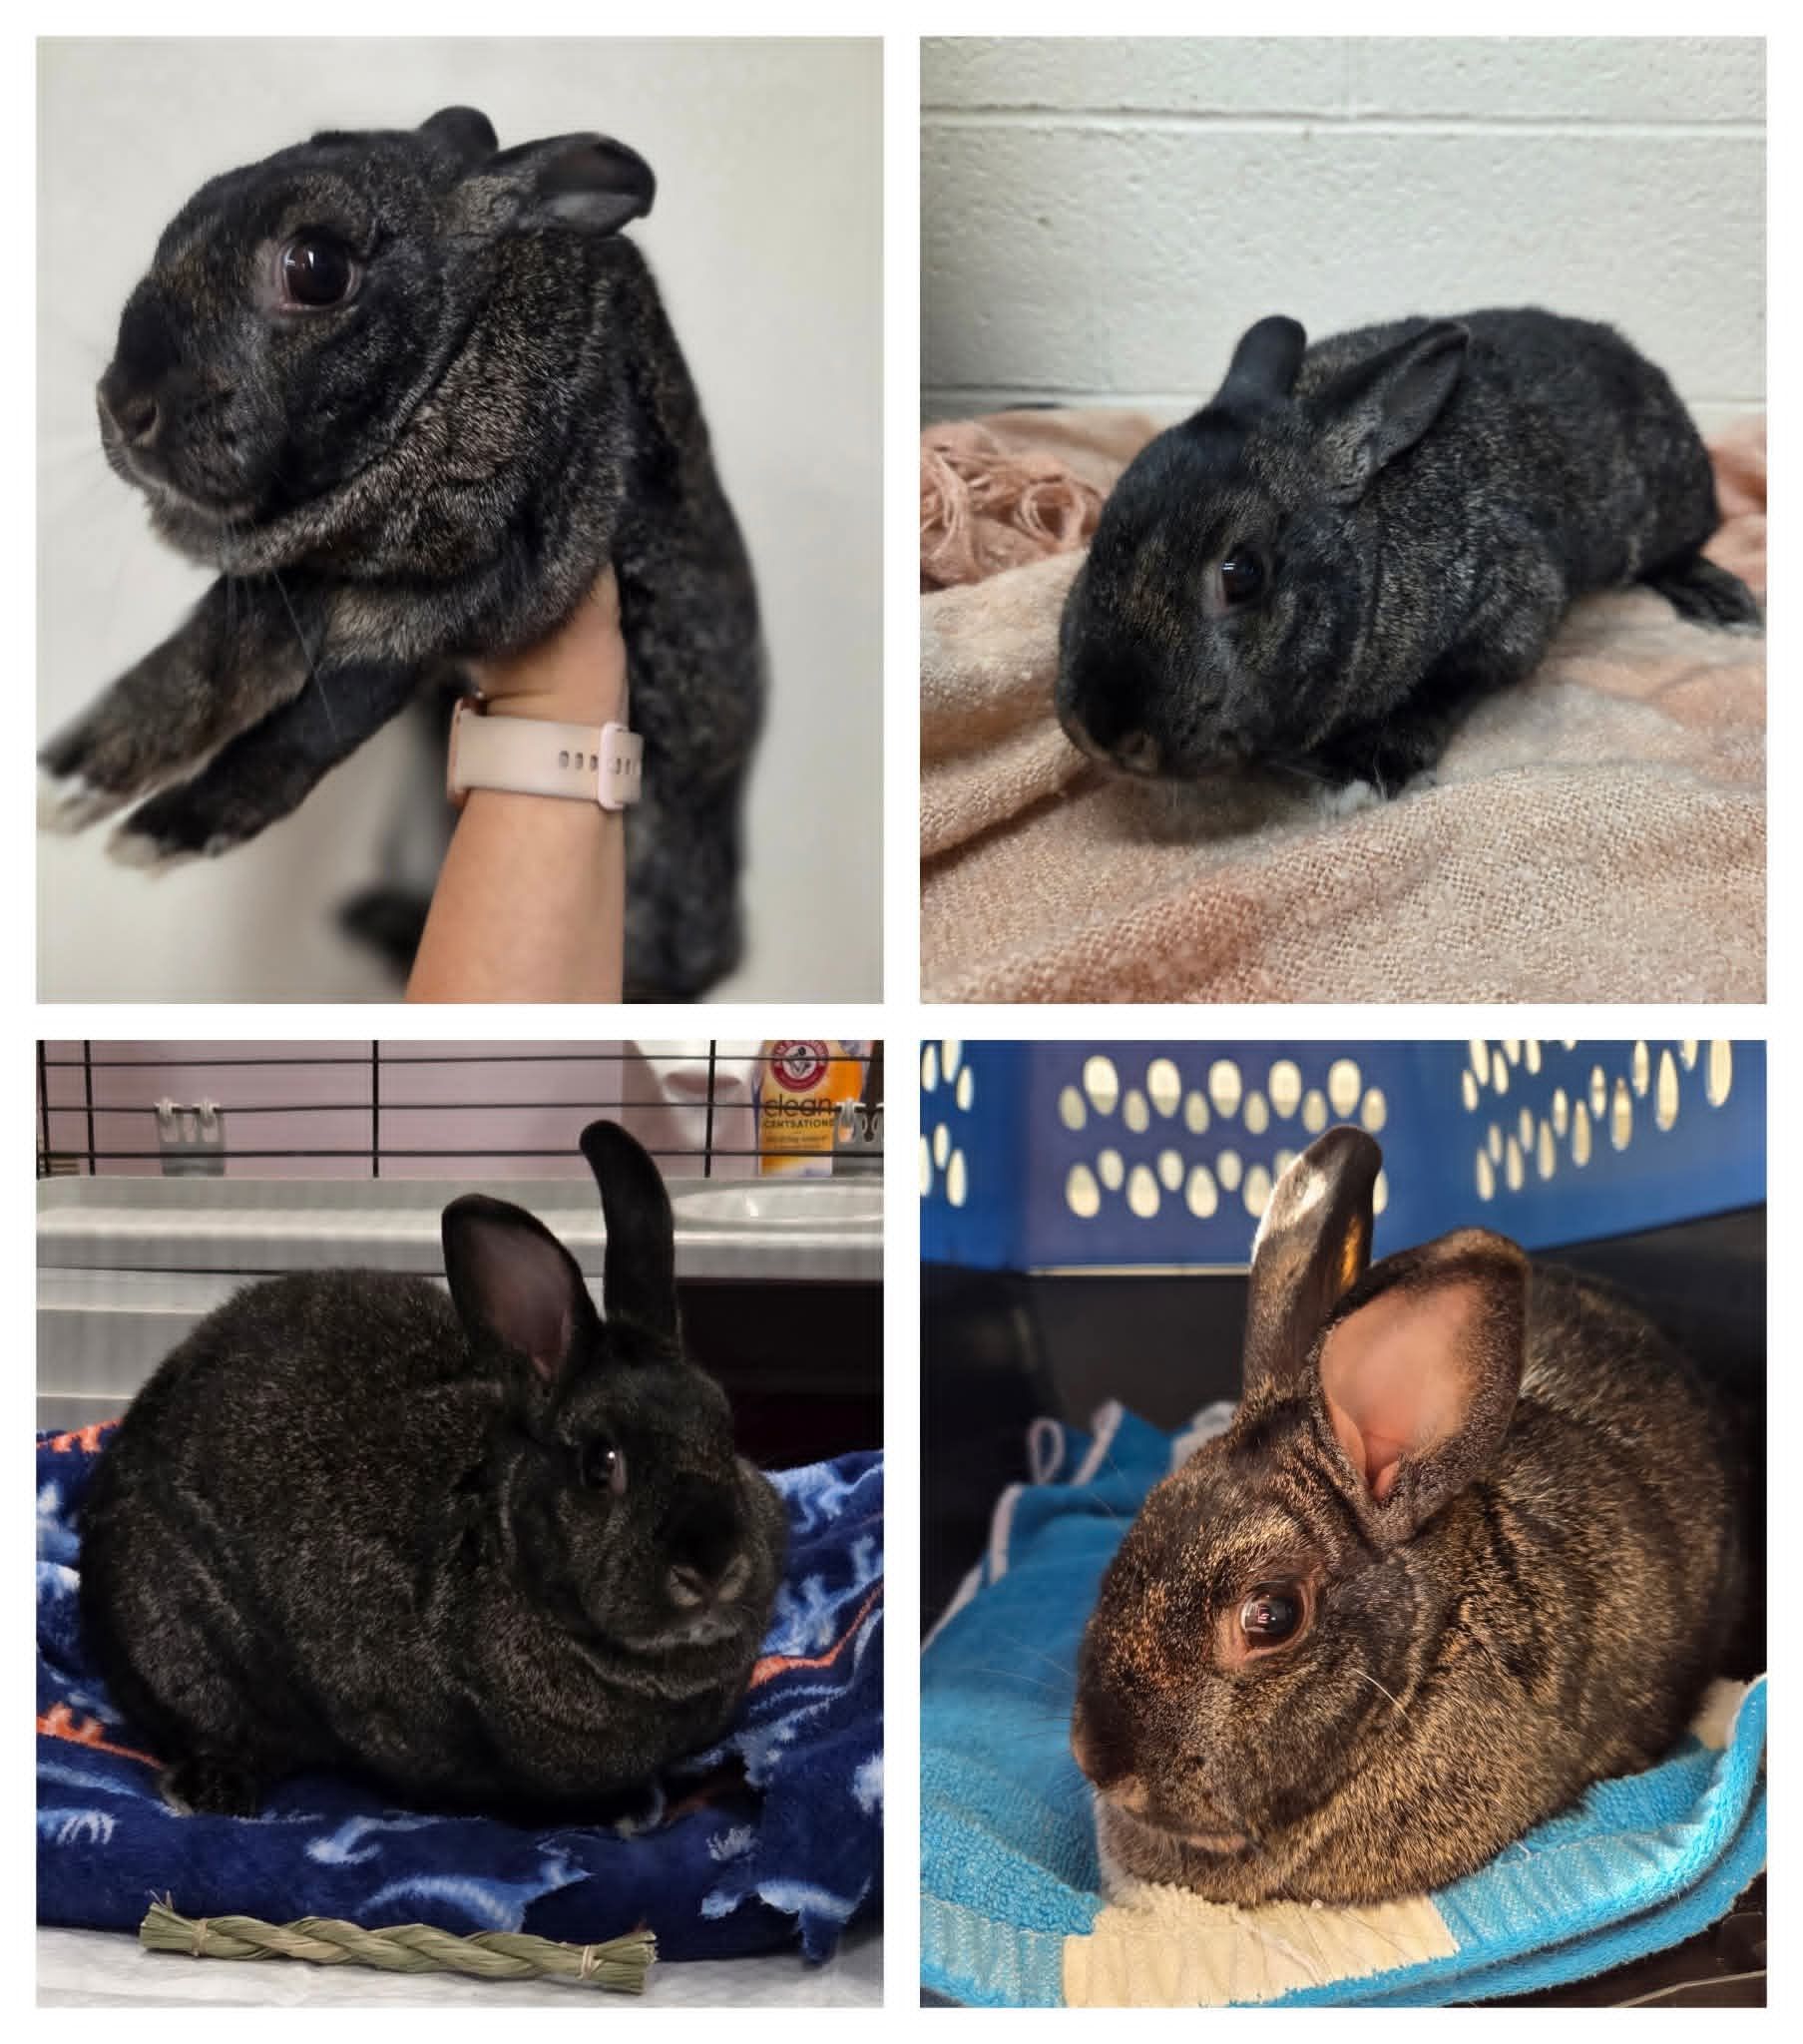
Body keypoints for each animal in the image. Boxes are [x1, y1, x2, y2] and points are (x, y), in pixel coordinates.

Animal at [39, 107, 762, 999]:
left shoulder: (434, 610)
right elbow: (195, 670)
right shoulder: (293, 589)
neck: (441, 372)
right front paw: (66, 781)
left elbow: (307, 727)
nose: (122, 405)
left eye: (317, 268)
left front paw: (160, 834)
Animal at [1056, 309, 1763, 795]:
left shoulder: (1512, 609)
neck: (1372, 544)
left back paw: (1722, 603)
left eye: (1243, 574)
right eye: (1099, 535)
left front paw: (1372, 764)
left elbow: (1453, 684)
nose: (1104, 732)